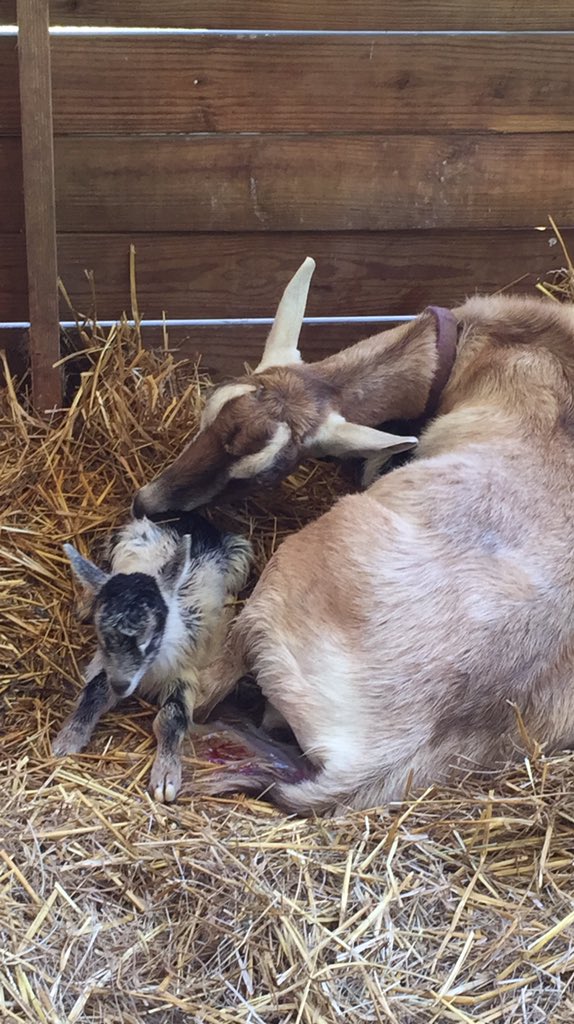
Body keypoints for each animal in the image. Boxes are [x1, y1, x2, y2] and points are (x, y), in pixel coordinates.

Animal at [52, 513, 253, 802]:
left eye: (149, 637)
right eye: (103, 637)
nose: (121, 686)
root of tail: (195, 520)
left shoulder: (185, 674)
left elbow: (172, 716)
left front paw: (166, 778)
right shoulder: (111, 669)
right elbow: (95, 690)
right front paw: (67, 740)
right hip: (128, 535)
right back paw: (85, 603)